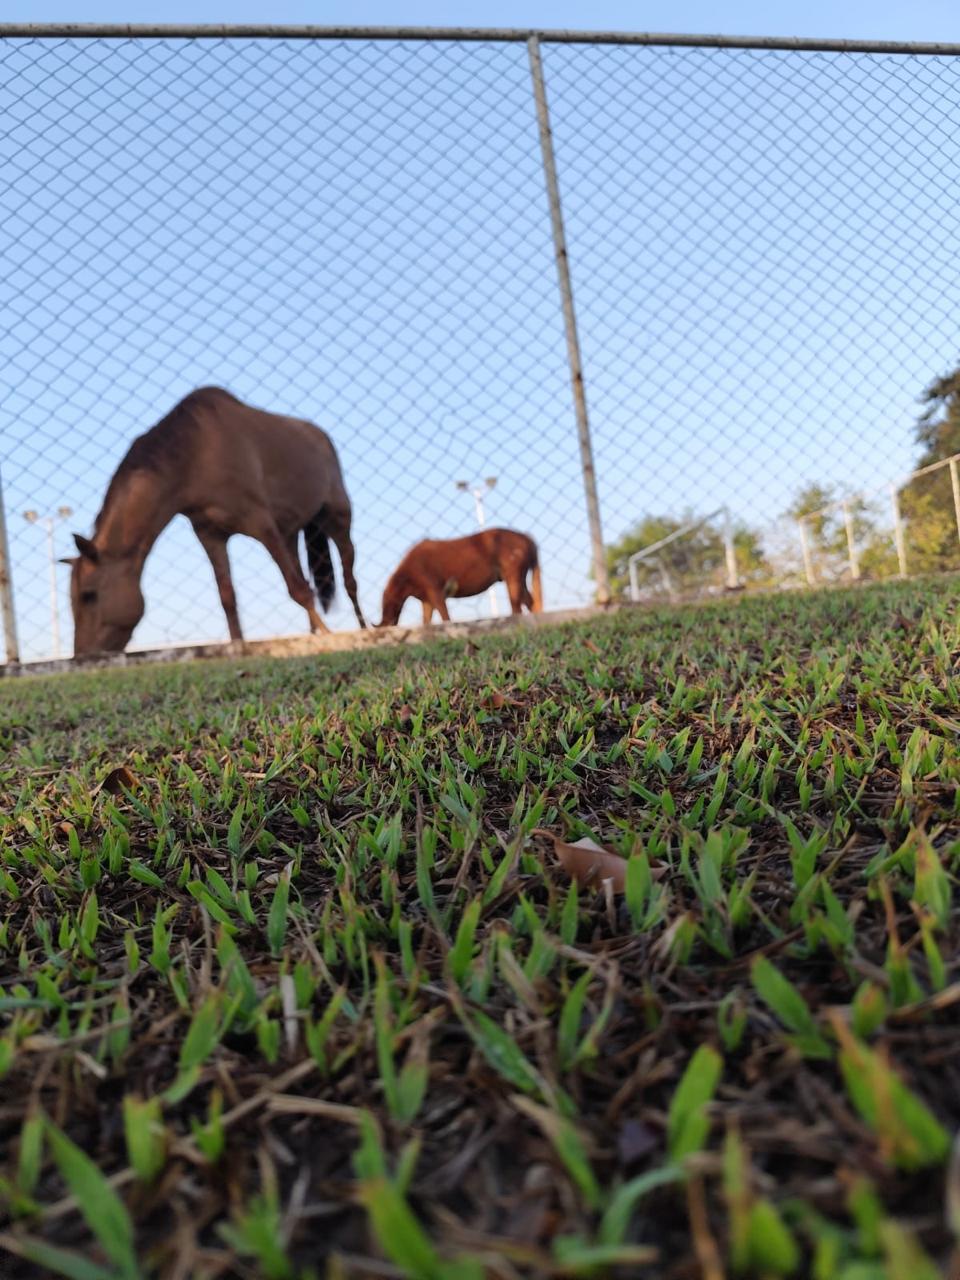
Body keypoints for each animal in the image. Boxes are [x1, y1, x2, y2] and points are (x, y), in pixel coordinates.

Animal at [63, 387, 366, 655]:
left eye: (88, 595)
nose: (82, 656)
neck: (193, 452)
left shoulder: (261, 523)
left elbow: (297, 589)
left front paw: (329, 635)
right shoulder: (210, 535)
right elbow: (227, 596)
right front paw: (239, 646)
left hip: (337, 518)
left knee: (349, 580)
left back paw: (363, 629)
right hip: (289, 533)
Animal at [379, 528, 542, 626]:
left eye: (388, 605)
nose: (387, 624)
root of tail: (526, 538)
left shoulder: (435, 592)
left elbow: (445, 616)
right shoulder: (426, 601)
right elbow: (426, 621)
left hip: (513, 578)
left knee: (517, 607)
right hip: (519, 579)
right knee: (530, 603)